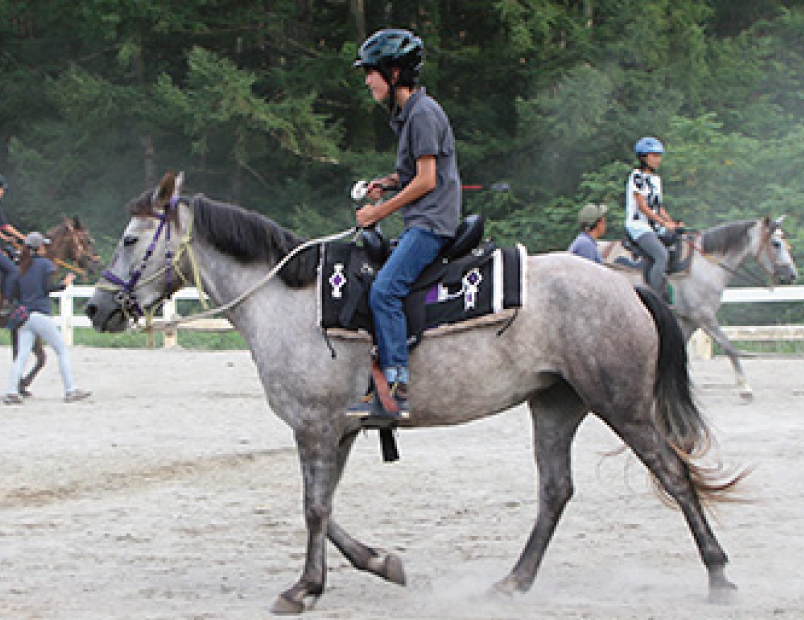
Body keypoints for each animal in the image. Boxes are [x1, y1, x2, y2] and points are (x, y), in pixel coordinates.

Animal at [86, 172, 742, 614]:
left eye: (129, 239)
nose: (95, 307)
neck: (288, 301)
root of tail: (625, 287)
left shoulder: (315, 427)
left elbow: (314, 508)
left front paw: (305, 588)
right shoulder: (339, 429)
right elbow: (326, 508)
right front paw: (380, 563)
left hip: (624, 407)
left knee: (675, 477)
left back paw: (719, 576)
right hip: (556, 405)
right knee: (556, 490)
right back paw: (514, 581)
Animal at [599, 217, 798, 400]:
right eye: (776, 243)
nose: (792, 275)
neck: (706, 265)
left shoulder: (690, 320)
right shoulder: (705, 317)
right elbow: (728, 346)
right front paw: (745, 387)